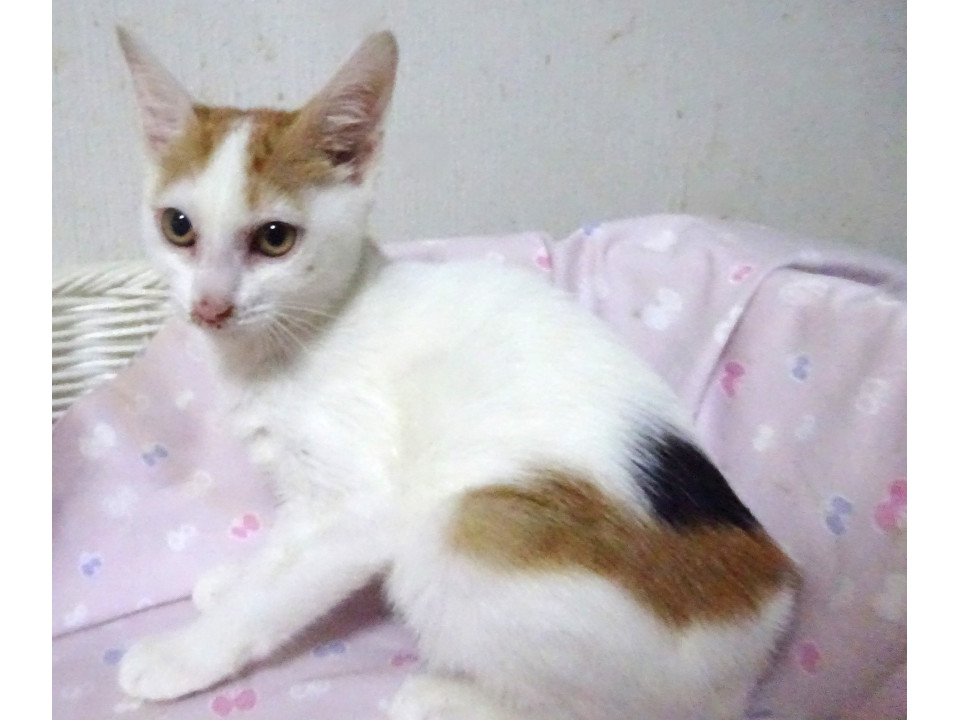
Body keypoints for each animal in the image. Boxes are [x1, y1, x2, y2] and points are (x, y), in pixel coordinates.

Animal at [115, 27, 798, 720]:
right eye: (178, 227)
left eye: (275, 238)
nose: (210, 305)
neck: (297, 338)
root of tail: (760, 637)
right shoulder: (303, 487)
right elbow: (280, 548)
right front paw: (234, 580)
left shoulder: (362, 506)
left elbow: (278, 594)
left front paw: (182, 653)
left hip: (458, 525)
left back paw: (443, 694)